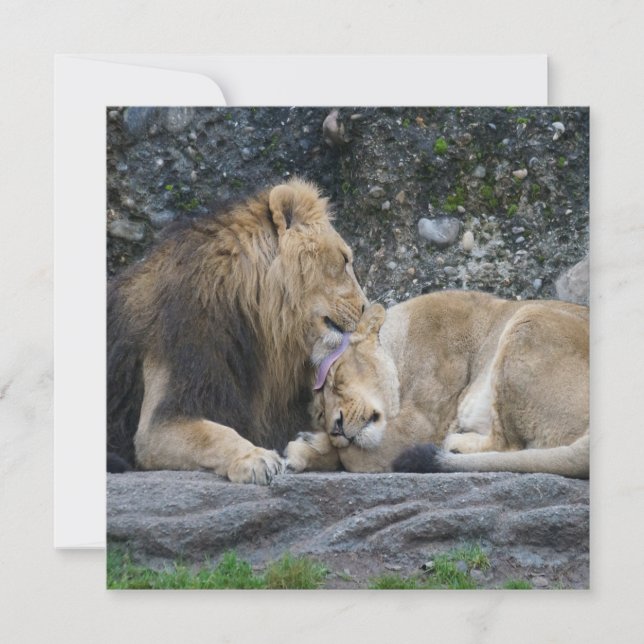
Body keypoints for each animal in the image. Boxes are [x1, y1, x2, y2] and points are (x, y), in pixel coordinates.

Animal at [107, 178, 367, 484]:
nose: (365, 307)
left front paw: (308, 446)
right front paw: (255, 458)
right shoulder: (161, 419)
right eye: (344, 259)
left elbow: (338, 447)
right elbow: (214, 435)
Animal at [285, 290, 589, 479]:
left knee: (510, 446)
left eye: (337, 378)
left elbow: (352, 456)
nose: (335, 428)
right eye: (321, 413)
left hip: (529, 318)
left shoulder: (422, 426)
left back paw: (455, 445)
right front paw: (306, 449)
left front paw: (309, 445)